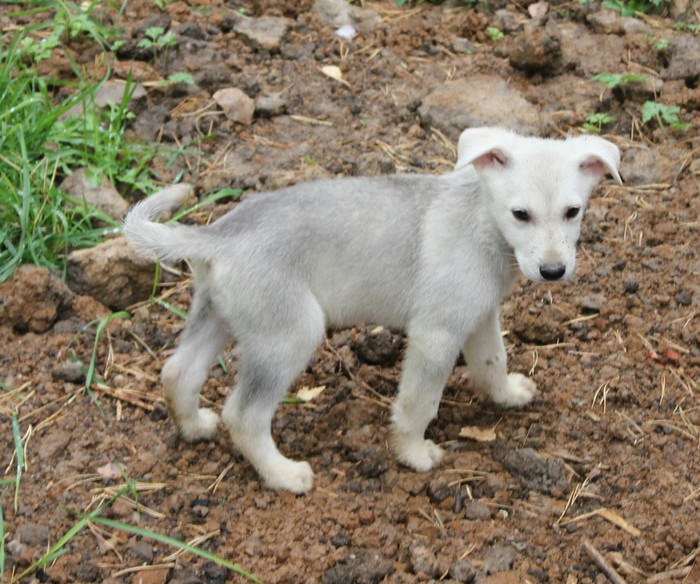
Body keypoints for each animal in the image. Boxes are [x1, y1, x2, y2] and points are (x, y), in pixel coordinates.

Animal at [123, 126, 620, 492]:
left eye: (573, 211)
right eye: (520, 214)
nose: (553, 271)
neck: (481, 221)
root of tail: (217, 236)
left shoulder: (478, 317)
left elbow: (492, 362)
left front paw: (506, 395)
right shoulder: (436, 335)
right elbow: (419, 403)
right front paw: (412, 453)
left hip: (217, 316)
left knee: (178, 372)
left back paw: (193, 427)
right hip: (290, 335)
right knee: (244, 416)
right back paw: (284, 475)